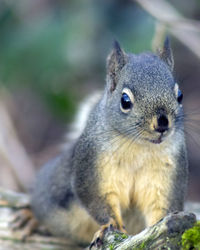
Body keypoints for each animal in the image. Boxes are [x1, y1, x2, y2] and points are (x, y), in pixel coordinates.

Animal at [13, 38, 188, 249]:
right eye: (125, 100)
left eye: (180, 95)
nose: (162, 124)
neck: (140, 146)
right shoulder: (93, 166)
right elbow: (99, 200)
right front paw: (112, 226)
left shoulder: (168, 173)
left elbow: (161, 207)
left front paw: (162, 228)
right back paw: (30, 218)